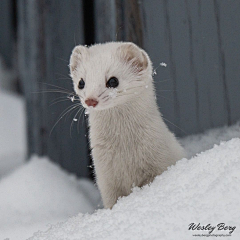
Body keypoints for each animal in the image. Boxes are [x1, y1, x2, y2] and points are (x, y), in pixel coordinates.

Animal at [69, 41, 186, 208]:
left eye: (113, 80)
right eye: (81, 82)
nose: (90, 100)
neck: (125, 152)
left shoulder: (161, 160)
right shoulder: (105, 178)